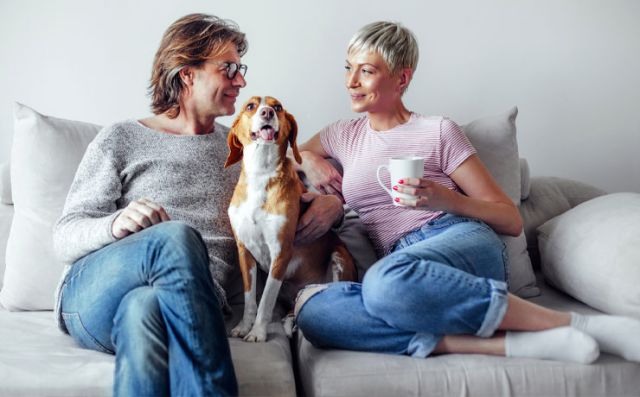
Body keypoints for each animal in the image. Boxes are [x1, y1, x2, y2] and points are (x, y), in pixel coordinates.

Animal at [224, 95, 356, 340]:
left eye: (277, 107)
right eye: (250, 106)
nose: (267, 113)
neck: (261, 173)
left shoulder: (281, 251)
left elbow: (266, 300)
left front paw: (257, 332)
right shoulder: (244, 251)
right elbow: (250, 299)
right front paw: (244, 327)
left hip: (339, 257)